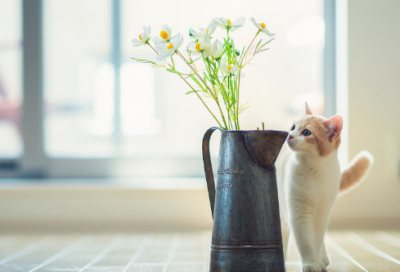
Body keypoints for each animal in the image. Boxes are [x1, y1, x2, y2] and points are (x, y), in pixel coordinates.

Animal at [276, 102, 374, 272]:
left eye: (306, 132)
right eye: (293, 127)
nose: (289, 135)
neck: (315, 171)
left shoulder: (322, 213)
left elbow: (315, 239)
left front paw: (316, 261)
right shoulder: (299, 214)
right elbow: (306, 242)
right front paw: (310, 263)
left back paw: (322, 258)